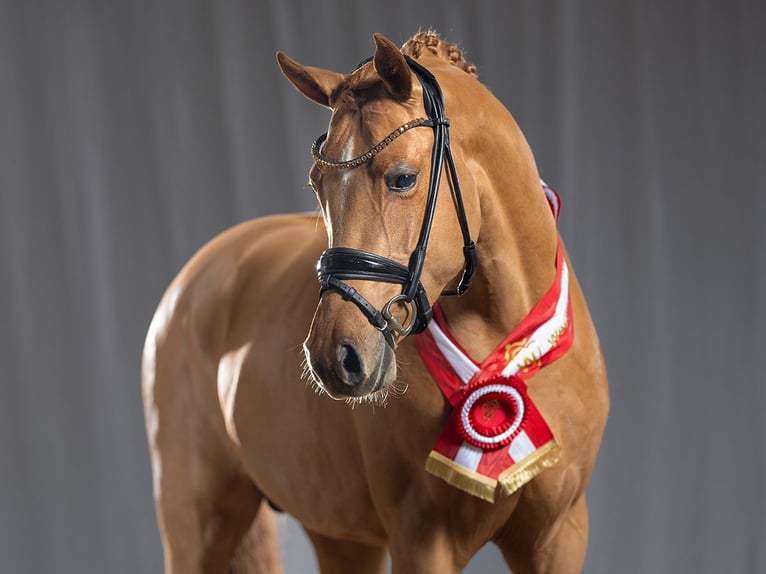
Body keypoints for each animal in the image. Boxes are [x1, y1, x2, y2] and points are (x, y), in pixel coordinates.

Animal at [142, 31, 609, 574]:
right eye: (317, 183)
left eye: (403, 178)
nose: (334, 356)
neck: (505, 345)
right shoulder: (422, 541)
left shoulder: (559, 537)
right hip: (196, 526)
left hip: (339, 535)